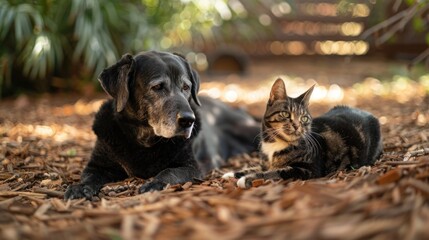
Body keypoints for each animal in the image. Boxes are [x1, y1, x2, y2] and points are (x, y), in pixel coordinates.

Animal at [63, 50, 258, 199]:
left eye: (186, 87)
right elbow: (89, 176)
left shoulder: (191, 166)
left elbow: (169, 172)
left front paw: (155, 183)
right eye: (157, 87)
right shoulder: (98, 165)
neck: (144, 140)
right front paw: (80, 187)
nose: (189, 120)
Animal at [222, 78, 382, 188]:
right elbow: (255, 167)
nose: (297, 125)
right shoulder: (265, 163)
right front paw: (232, 173)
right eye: (285, 114)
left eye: (304, 118)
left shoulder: (308, 169)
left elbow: (277, 171)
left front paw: (247, 178)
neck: (275, 144)